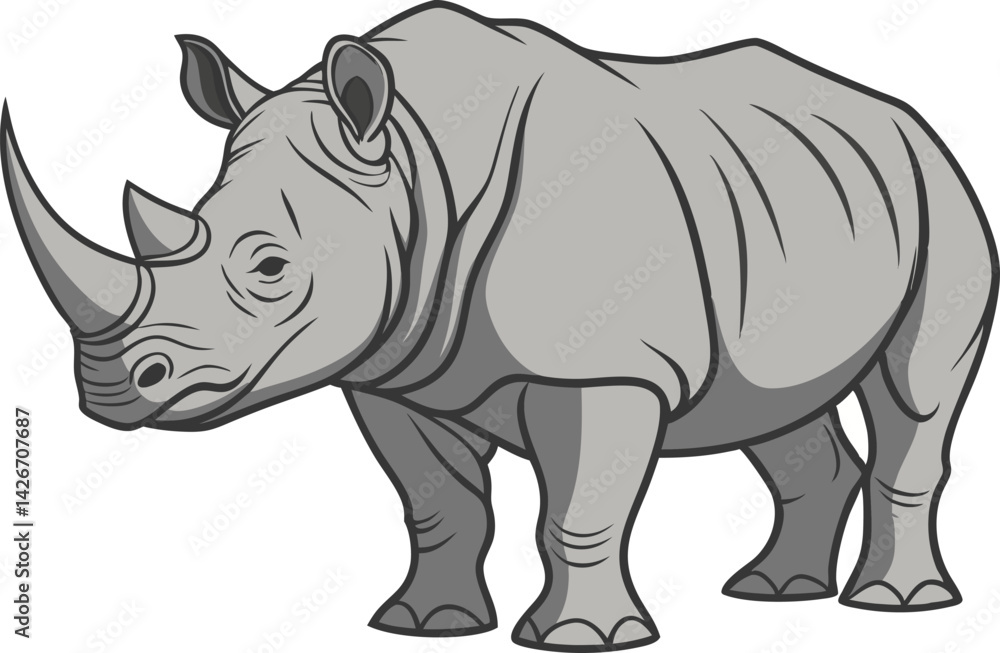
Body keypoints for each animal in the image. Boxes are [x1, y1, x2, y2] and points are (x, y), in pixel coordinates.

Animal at [4, 2, 997, 650]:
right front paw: (425, 625)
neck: (412, 162)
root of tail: (906, 115)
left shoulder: (602, 365)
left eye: (271, 268)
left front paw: (583, 639)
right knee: (775, 405)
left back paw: (895, 606)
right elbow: (438, 500)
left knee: (915, 392)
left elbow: (578, 506)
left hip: (942, 190)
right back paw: (772, 595)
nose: (107, 388)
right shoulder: (391, 363)